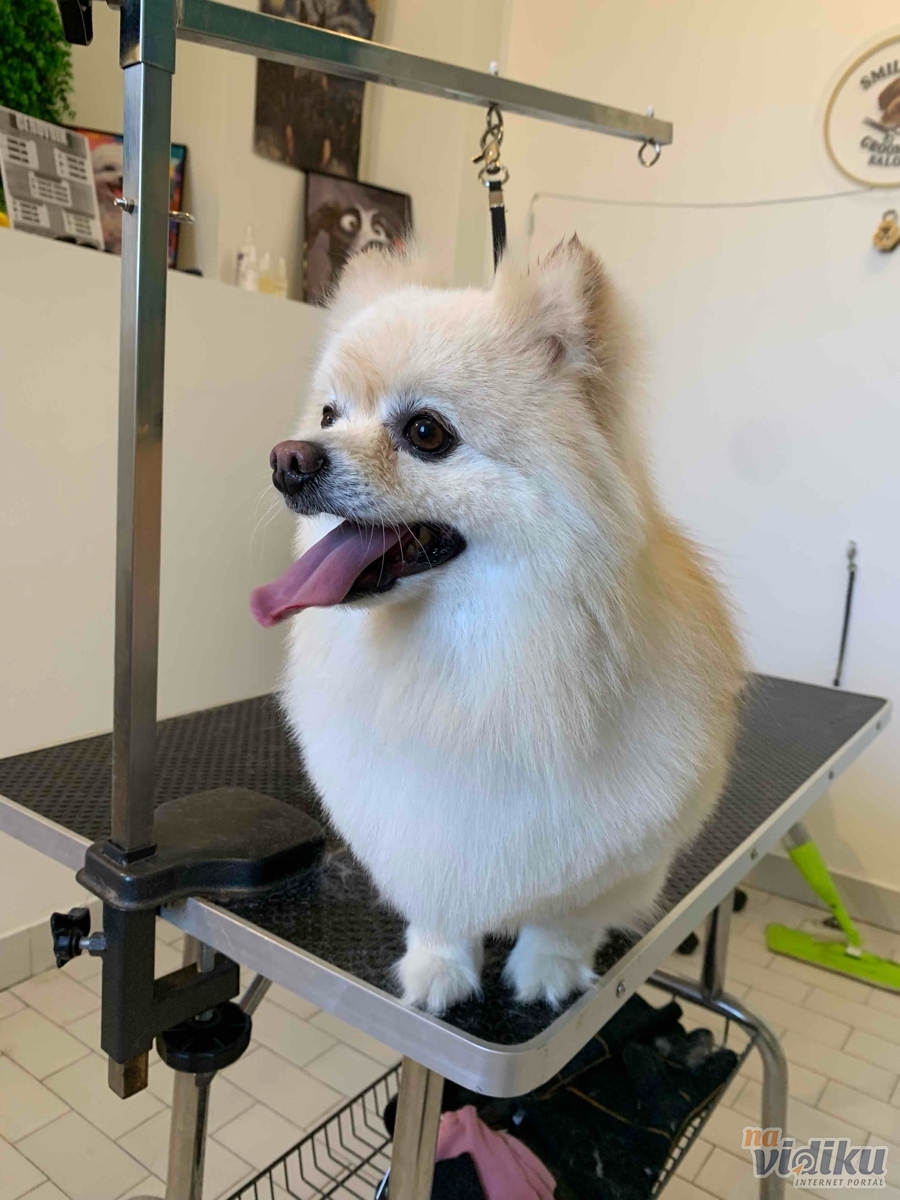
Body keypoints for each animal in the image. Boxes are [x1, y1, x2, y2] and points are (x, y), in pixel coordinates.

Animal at [251, 239, 745, 1014]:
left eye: (426, 432)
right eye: (328, 414)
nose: (288, 458)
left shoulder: (618, 847)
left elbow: (568, 914)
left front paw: (547, 970)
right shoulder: (420, 827)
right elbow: (439, 903)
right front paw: (439, 967)